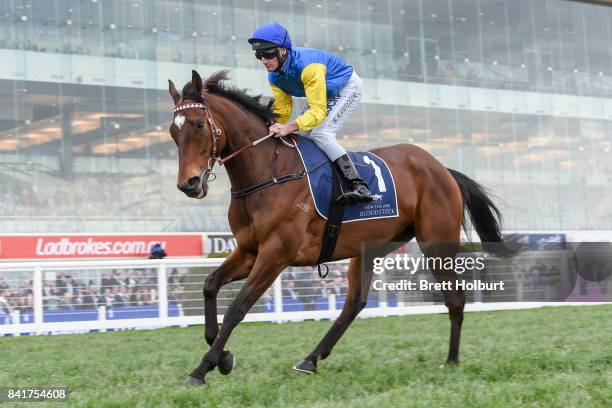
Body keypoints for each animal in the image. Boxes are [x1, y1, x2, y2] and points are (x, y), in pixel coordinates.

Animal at [166, 70, 512, 386]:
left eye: (199, 124)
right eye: (172, 131)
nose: (188, 184)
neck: (269, 172)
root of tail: (441, 168)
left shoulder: (276, 253)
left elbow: (238, 307)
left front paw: (203, 367)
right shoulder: (249, 250)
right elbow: (209, 284)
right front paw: (222, 354)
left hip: (436, 242)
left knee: (455, 298)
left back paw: (451, 360)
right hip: (371, 248)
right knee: (355, 303)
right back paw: (311, 359)